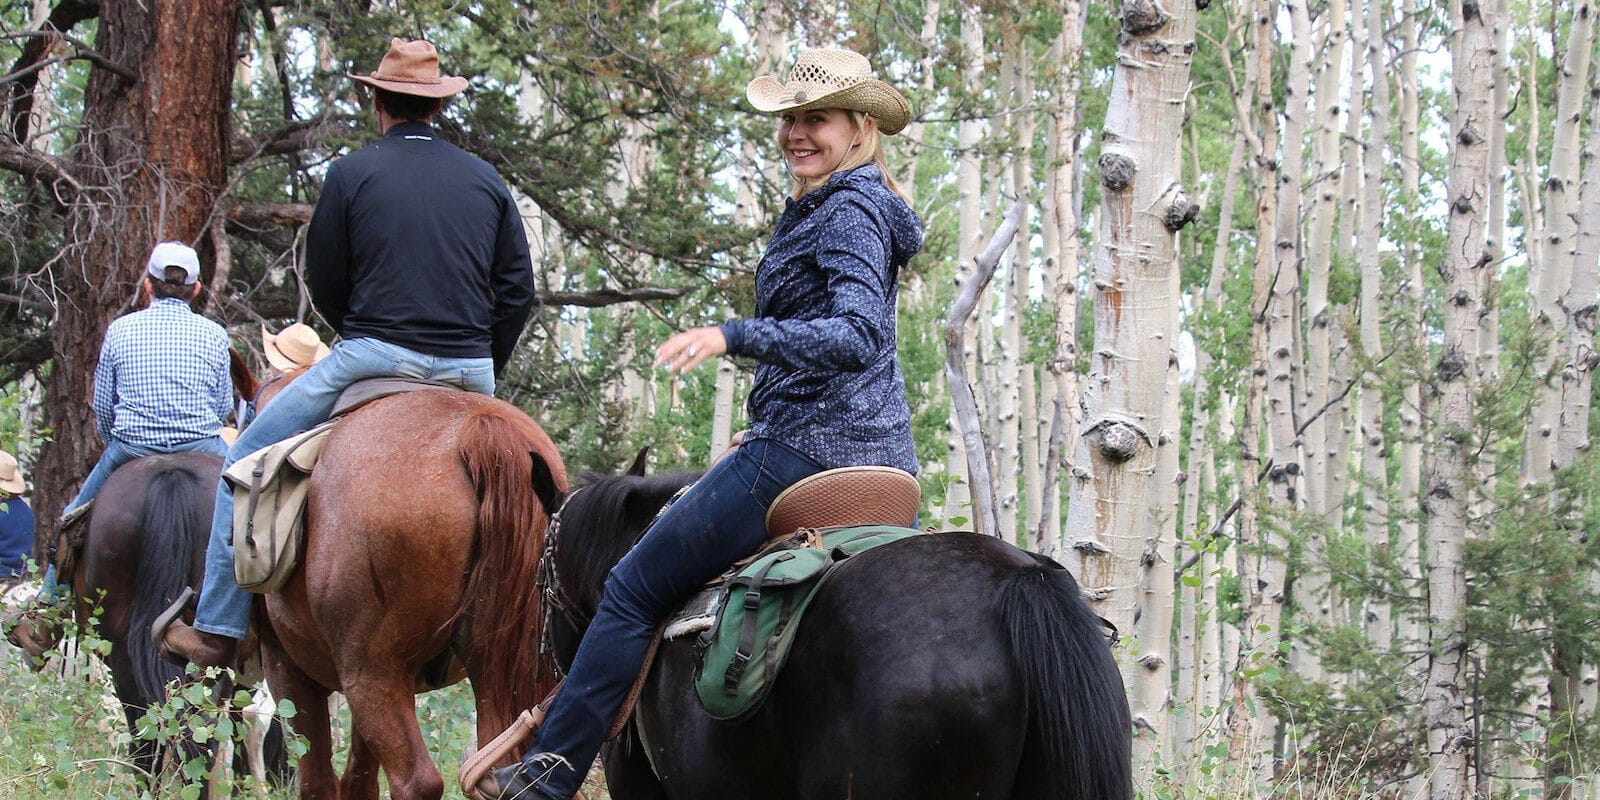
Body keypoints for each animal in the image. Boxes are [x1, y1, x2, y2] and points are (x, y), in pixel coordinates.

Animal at [249, 380, 569, 800]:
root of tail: (481, 429)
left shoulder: (287, 668)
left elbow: (317, 780)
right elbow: (359, 778)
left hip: (373, 672)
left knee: (416, 781)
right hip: (493, 670)